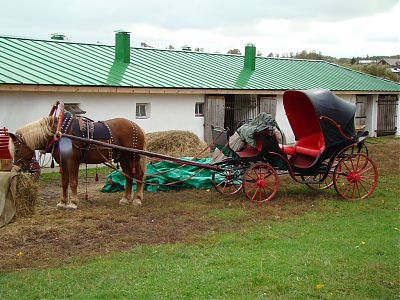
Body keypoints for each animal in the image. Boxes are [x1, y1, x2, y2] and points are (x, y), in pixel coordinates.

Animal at [9, 113, 147, 210]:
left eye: (17, 150)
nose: (17, 168)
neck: (59, 133)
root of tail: (138, 127)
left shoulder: (72, 161)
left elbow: (73, 182)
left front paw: (73, 203)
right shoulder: (63, 162)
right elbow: (64, 183)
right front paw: (63, 202)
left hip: (133, 157)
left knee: (138, 175)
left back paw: (137, 199)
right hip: (124, 158)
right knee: (128, 176)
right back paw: (126, 199)